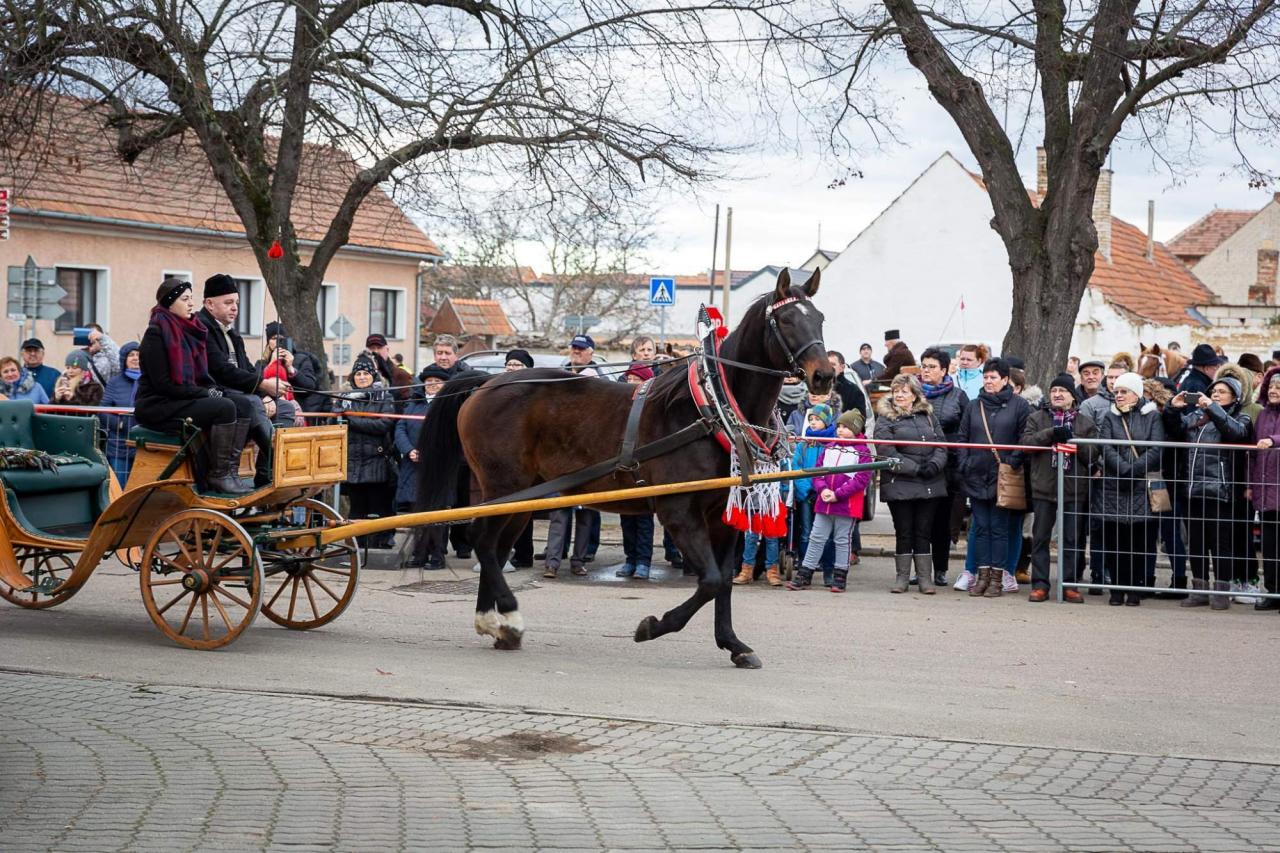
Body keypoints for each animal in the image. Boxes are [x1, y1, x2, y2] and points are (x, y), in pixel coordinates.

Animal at [415, 269, 833, 668]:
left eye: (820, 318)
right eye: (788, 319)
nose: (824, 375)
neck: (709, 408)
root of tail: (487, 381)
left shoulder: (722, 517)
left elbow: (725, 581)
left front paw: (733, 644)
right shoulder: (679, 512)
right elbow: (712, 581)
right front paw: (653, 626)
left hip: (525, 494)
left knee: (495, 547)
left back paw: (495, 623)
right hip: (504, 485)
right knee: (483, 541)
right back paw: (509, 616)